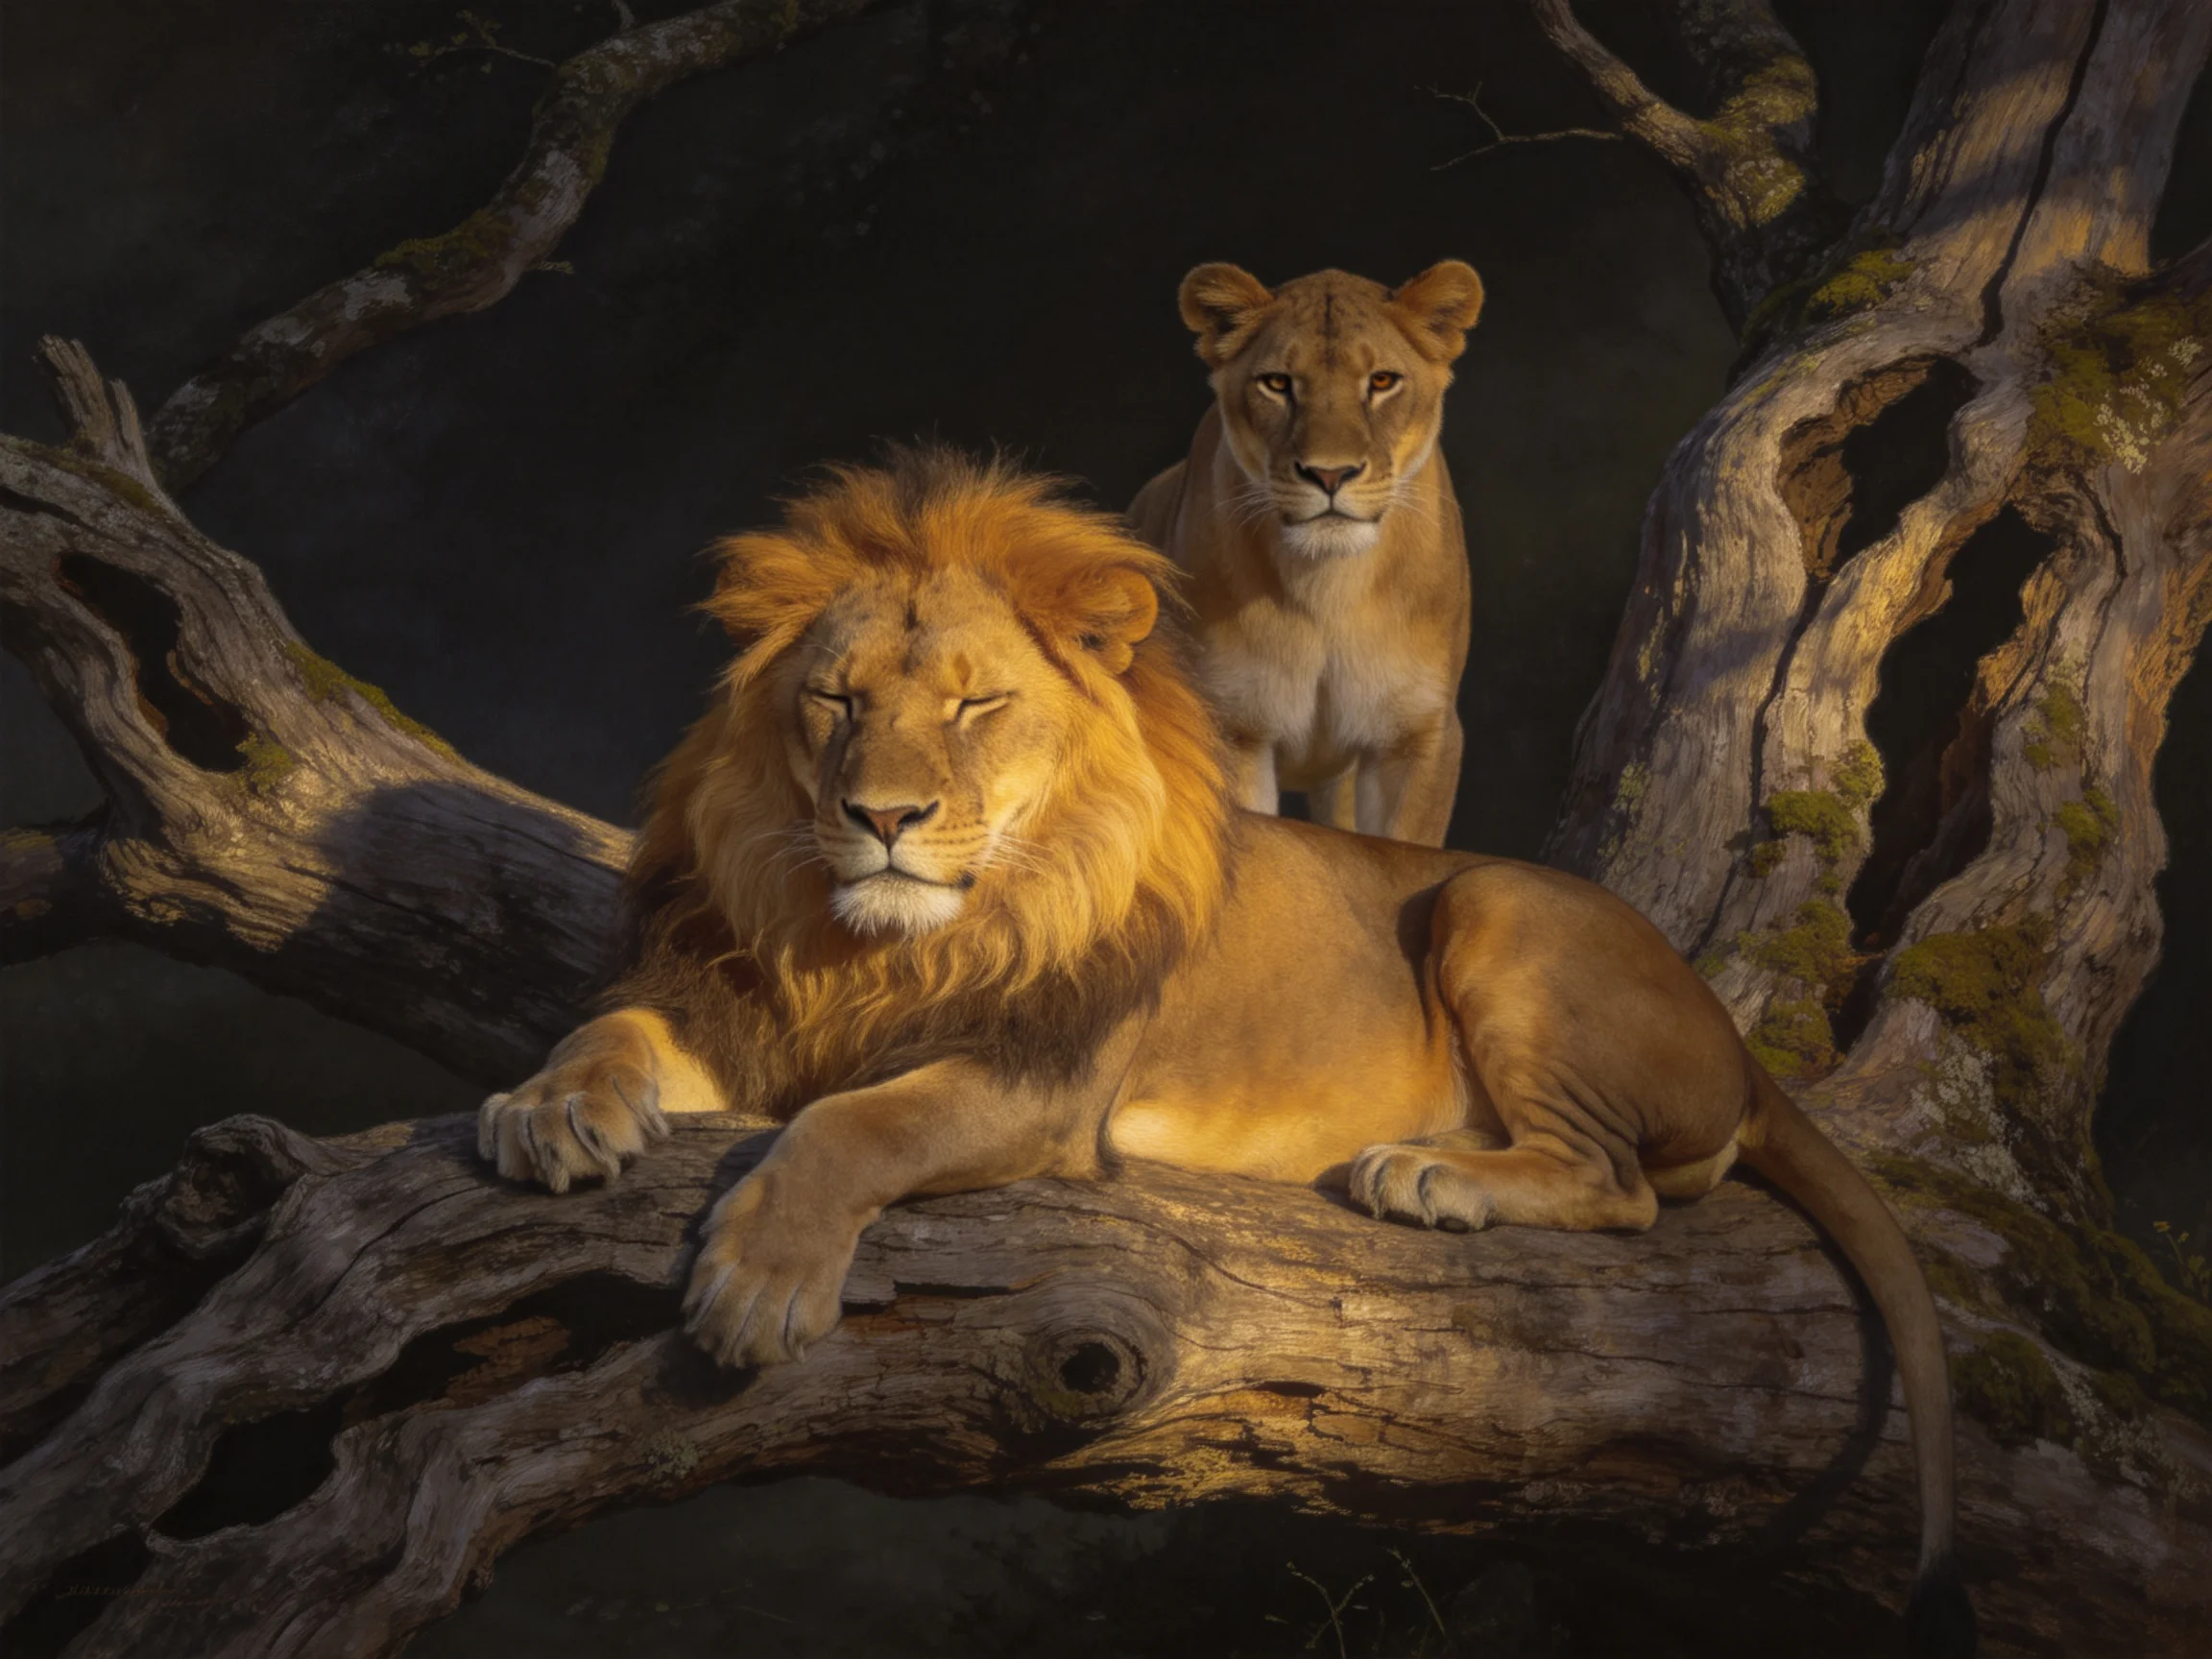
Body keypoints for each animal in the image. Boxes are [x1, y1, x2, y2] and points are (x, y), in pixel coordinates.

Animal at [479, 450, 1971, 1654]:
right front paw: (546, 1107)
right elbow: (614, 1025)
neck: (881, 945)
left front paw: (760, 1284)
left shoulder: (1045, 1087)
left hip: (1495, 903)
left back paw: (1427, 1175)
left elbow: (858, 1125)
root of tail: (1735, 1036)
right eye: (835, 700)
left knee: (1624, 1188)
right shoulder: (751, 1016)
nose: (882, 818)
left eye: (974, 708)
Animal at [1127, 261, 1482, 847]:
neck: (1330, 586)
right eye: (1277, 383)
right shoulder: (1238, 727)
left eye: (1381, 381)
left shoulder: (1417, 733)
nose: (1330, 474)